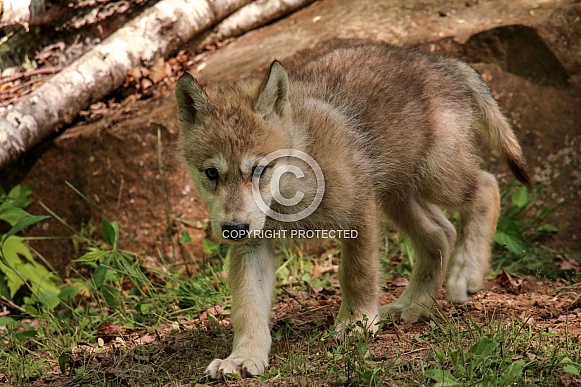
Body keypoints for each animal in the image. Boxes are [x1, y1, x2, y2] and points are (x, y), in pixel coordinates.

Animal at [173, 44, 532, 378]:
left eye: (260, 170)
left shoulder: (358, 213)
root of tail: (440, 60)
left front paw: (356, 323)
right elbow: (248, 308)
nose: (232, 229)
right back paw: (413, 306)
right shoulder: (252, 245)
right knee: (440, 234)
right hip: (396, 195)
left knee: (486, 187)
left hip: (436, 178)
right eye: (211, 173)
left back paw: (466, 273)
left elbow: (356, 274)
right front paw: (243, 357)